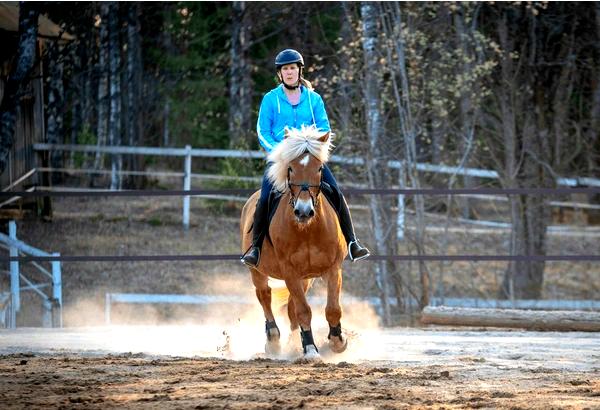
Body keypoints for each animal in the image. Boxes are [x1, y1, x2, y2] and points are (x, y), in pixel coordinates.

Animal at [239, 125, 346, 358]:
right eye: (290, 169)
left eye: (319, 168)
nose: (303, 211)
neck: (307, 230)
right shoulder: (289, 271)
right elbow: (304, 311)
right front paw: (311, 349)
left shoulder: (333, 268)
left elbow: (332, 309)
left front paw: (337, 341)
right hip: (257, 271)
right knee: (265, 296)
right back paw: (273, 340)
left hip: (306, 278)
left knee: (290, 308)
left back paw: (295, 343)